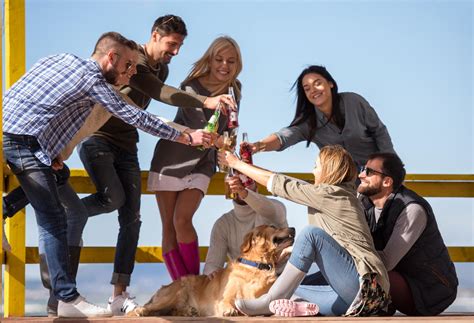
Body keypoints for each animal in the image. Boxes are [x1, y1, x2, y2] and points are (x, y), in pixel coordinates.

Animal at [128, 224, 294, 318]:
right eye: (273, 226)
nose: (293, 228)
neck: (257, 265)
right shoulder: (224, 296)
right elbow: (227, 301)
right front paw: (230, 310)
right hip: (172, 294)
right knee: (147, 308)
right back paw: (141, 311)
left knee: (169, 310)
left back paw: (188, 312)